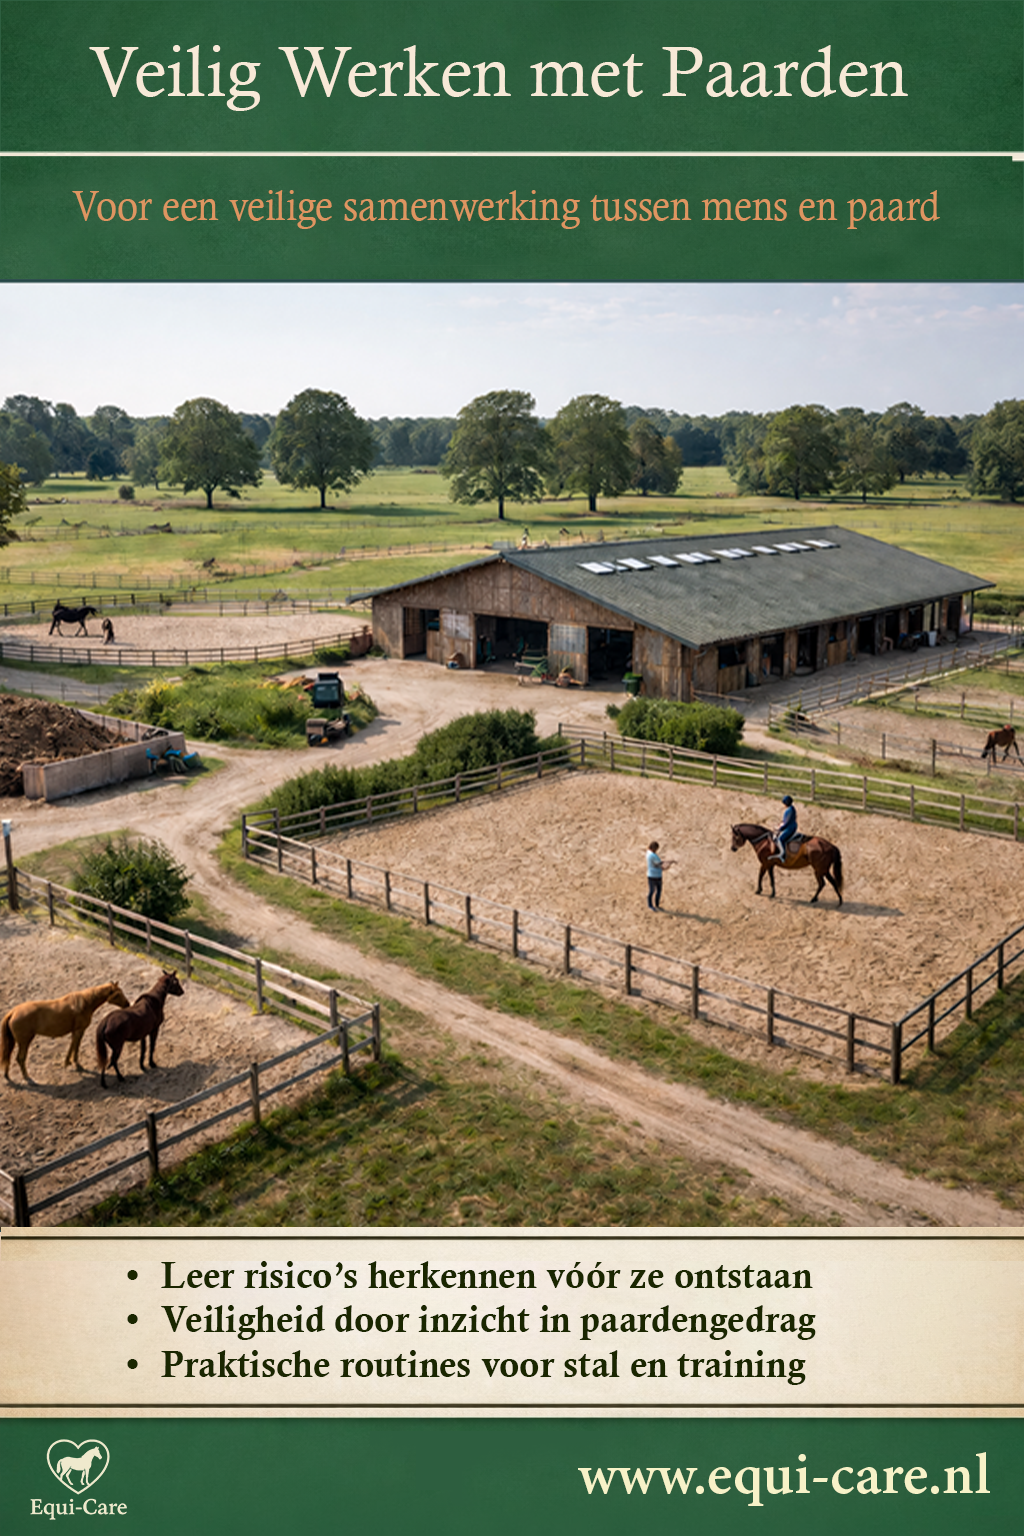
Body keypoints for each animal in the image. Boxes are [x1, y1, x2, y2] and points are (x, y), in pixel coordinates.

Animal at [1, 981, 130, 1082]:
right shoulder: (79, 1031)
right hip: (24, 1042)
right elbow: (75, 1047)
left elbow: (72, 1046)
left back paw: (7, 1075)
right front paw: (76, 1064)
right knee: (20, 1058)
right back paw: (27, 1077)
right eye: (117, 995)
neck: (85, 1003)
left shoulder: (75, 1032)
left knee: (8, 1056)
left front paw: (67, 1062)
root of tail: (13, 1012)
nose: (128, 1004)